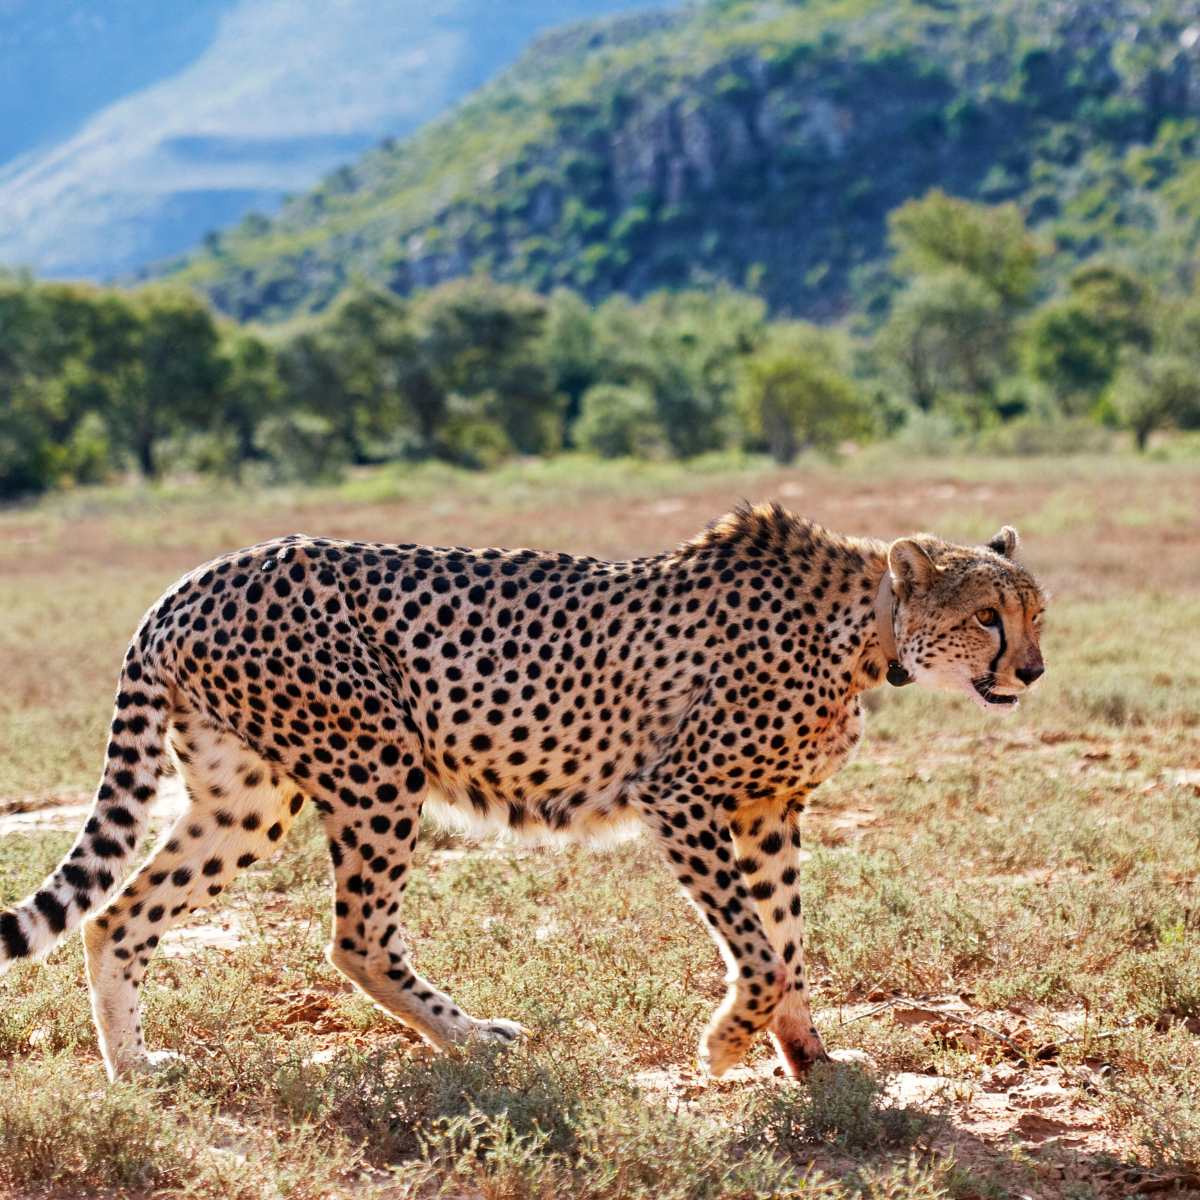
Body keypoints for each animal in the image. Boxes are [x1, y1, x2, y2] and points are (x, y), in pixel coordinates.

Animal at [0, 504, 1046, 1082]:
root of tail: (192, 579)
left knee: (117, 916)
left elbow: (786, 940)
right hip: (378, 763)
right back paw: (475, 1042)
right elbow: (756, 947)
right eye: (988, 616)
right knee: (357, 938)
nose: (1032, 671)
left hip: (247, 799)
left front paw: (809, 1058)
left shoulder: (768, 810)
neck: (867, 626)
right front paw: (725, 1047)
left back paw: (135, 1068)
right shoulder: (683, 795)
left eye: (1036, 612)